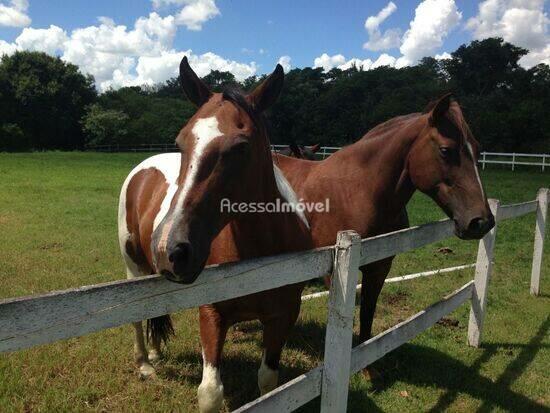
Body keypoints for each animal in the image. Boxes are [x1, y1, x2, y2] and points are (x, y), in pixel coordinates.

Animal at [117, 57, 314, 408]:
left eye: (241, 147)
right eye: (181, 142)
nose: (170, 249)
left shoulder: (283, 315)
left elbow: (269, 381)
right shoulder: (211, 314)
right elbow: (210, 392)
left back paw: (154, 354)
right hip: (134, 267)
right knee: (138, 316)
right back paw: (144, 364)